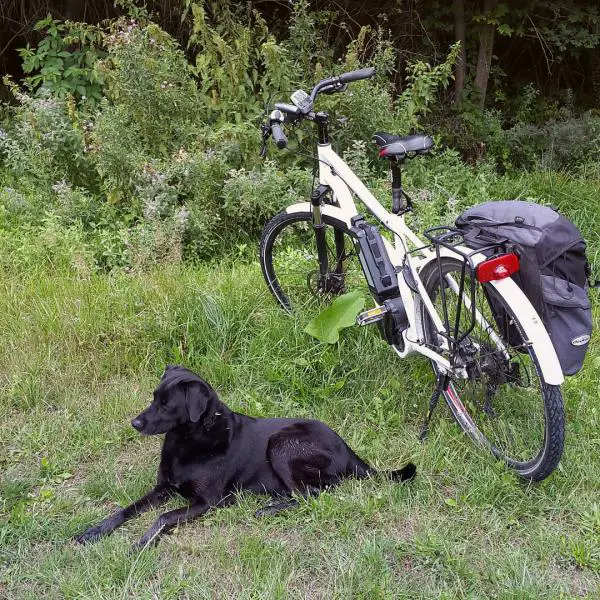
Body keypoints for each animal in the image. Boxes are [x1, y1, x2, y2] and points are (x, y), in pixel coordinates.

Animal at [76, 364, 418, 548]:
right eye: (153, 397)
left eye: (166, 404)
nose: (134, 423)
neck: (191, 439)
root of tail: (348, 450)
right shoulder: (163, 488)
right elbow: (126, 510)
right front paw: (95, 530)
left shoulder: (206, 502)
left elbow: (163, 517)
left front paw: (143, 541)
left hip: (281, 444)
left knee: (315, 492)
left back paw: (268, 509)